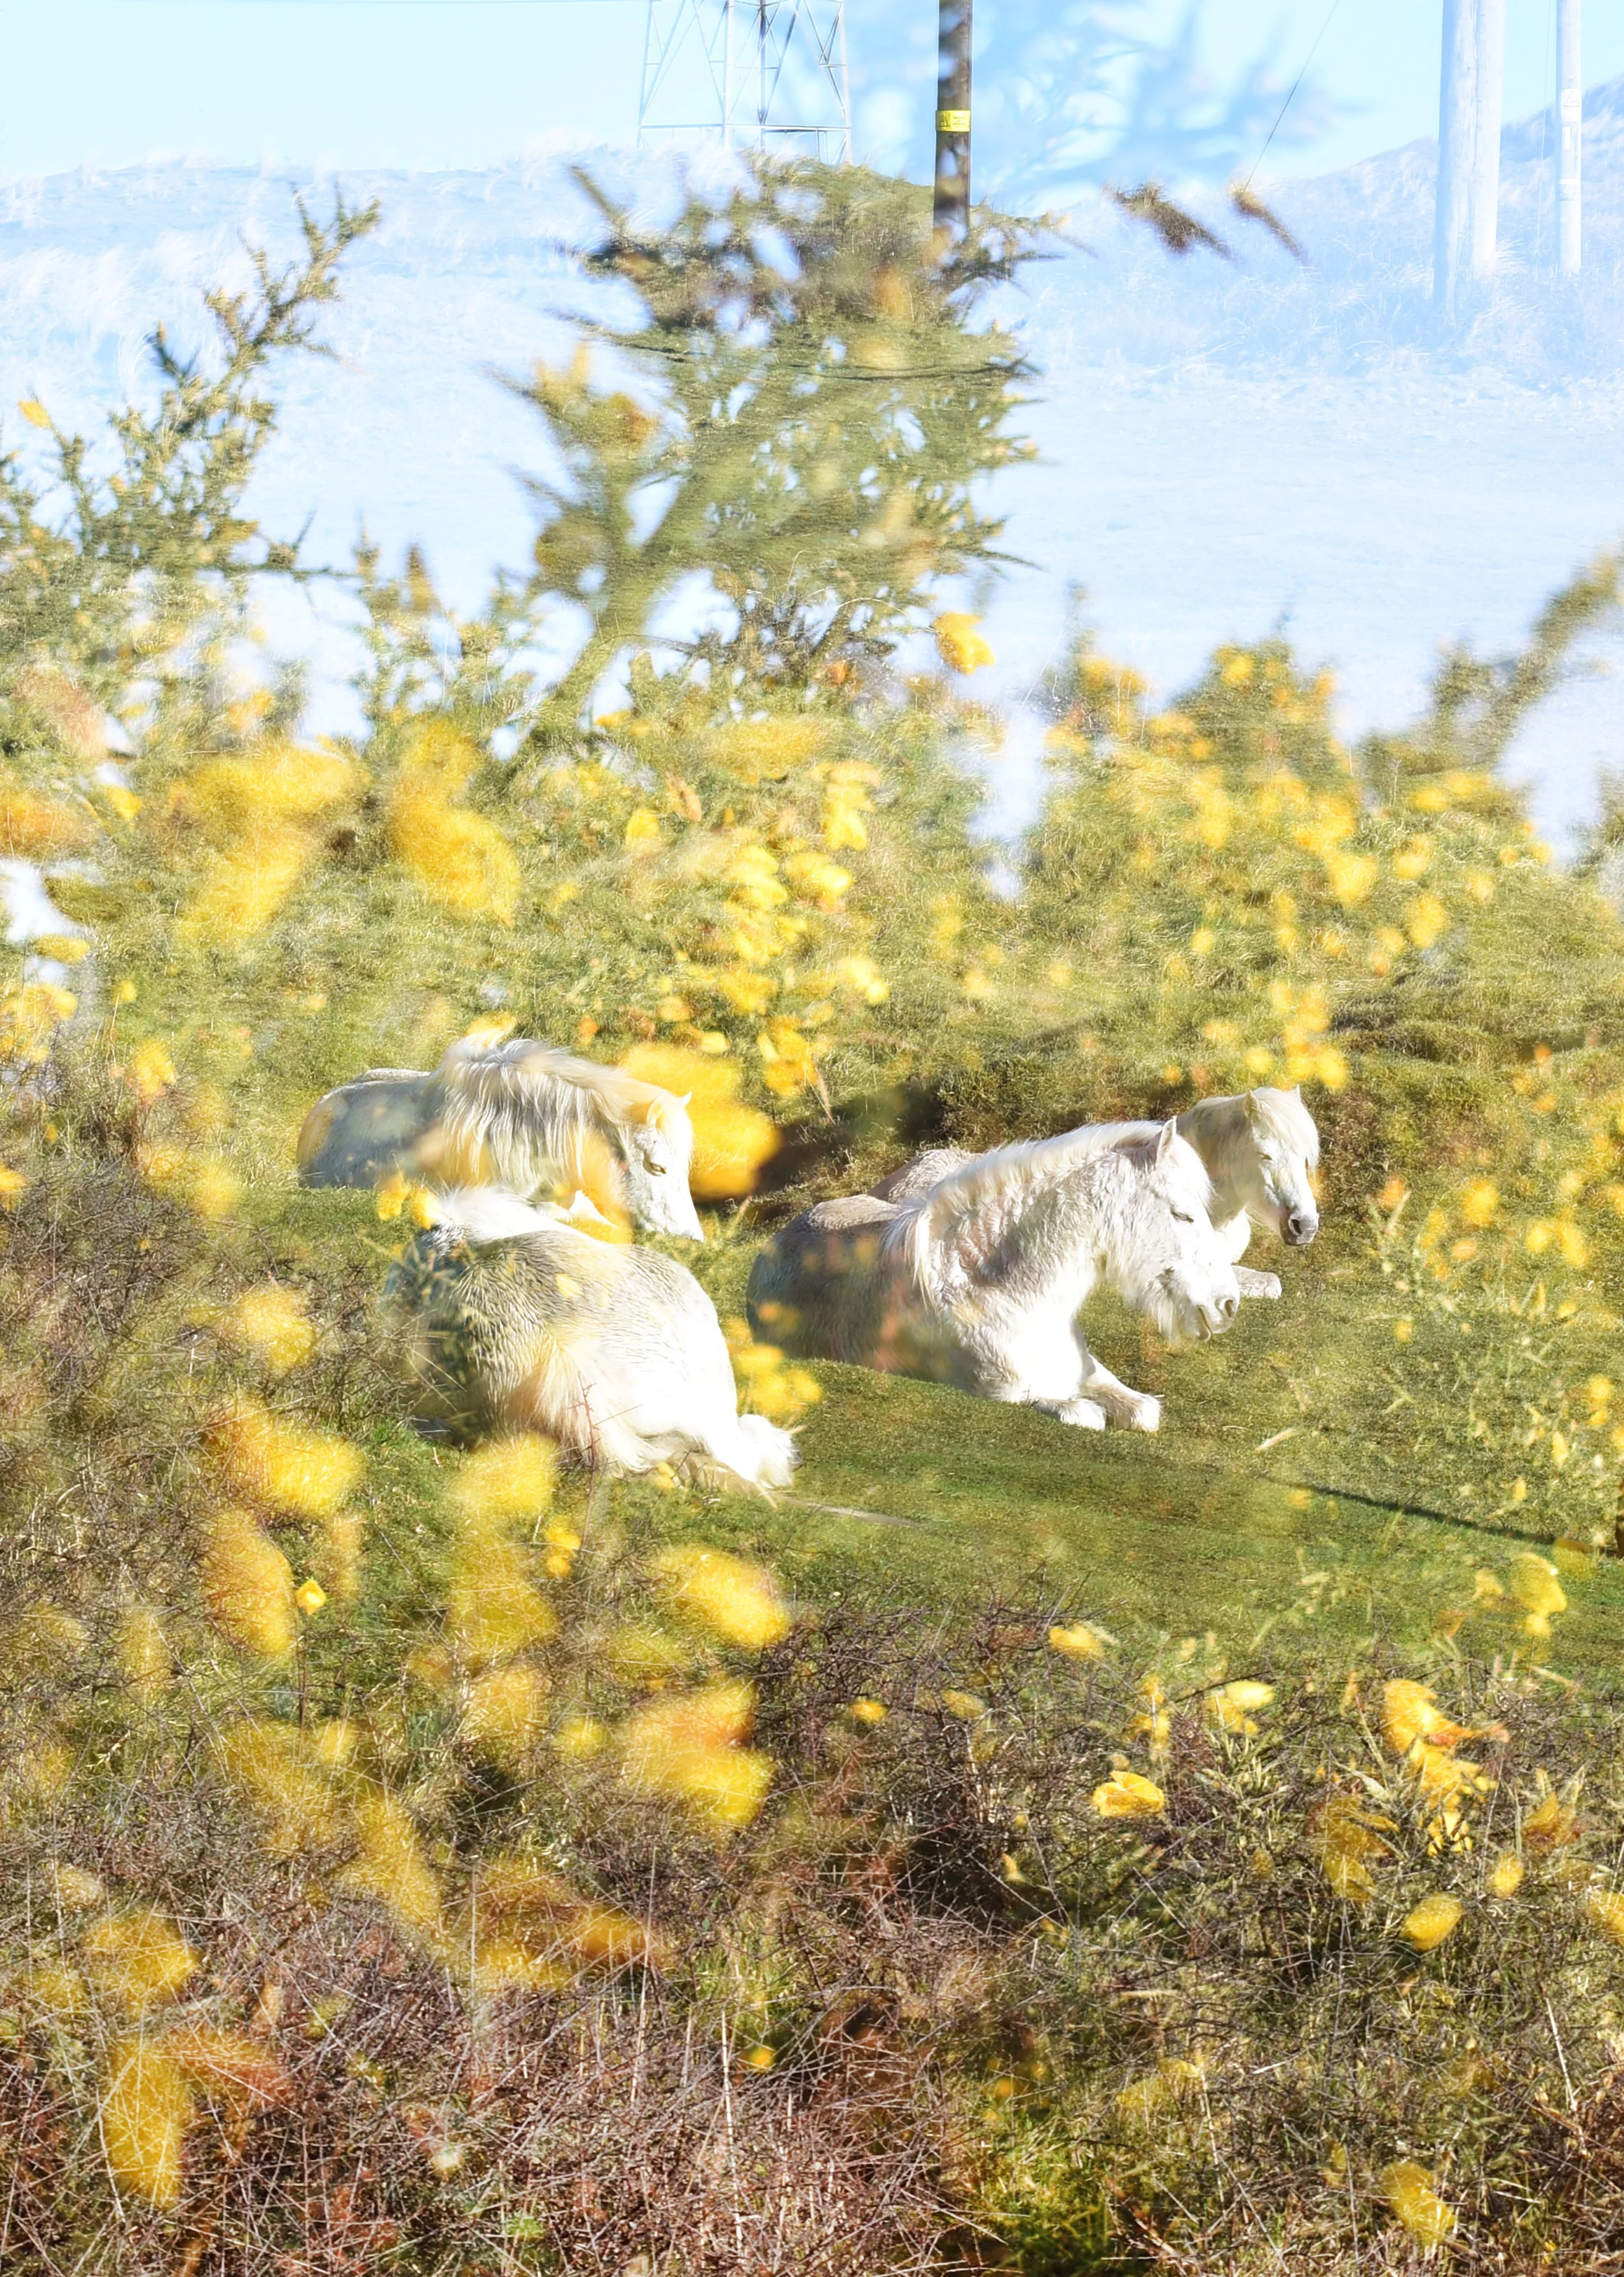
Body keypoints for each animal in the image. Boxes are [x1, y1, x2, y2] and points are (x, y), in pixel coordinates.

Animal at [747, 1118, 1241, 1432]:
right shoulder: (1005, 1392)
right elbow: (1086, 1415)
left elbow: (1142, 1412)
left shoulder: (1092, 1375)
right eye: (1182, 1214)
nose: (1228, 1303)